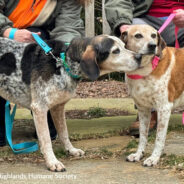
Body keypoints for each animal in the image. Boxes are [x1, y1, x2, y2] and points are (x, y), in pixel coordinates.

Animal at [0, 35, 139, 172]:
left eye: (124, 46)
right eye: (115, 51)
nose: (139, 56)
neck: (64, 61)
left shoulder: (58, 107)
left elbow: (64, 133)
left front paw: (71, 150)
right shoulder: (39, 108)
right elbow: (46, 140)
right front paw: (52, 162)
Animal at [121, 24, 184, 167]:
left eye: (154, 35)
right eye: (138, 35)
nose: (152, 46)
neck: (144, 71)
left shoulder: (164, 108)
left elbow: (159, 138)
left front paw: (154, 158)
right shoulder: (143, 109)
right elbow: (143, 136)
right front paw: (138, 154)